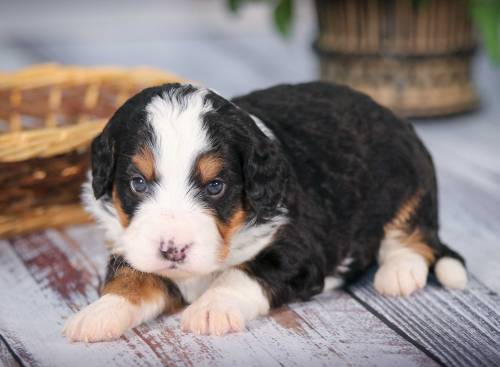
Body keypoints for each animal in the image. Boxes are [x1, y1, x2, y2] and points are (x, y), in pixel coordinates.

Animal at [61, 82, 464, 344]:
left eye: (215, 186)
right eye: (138, 183)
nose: (172, 250)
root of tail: (393, 116)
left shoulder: (297, 249)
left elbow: (242, 273)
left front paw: (211, 308)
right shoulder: (129, 246)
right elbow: (131, 278)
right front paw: (98, 314)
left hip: (409, 182)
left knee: (413, 235)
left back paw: (399, 273)